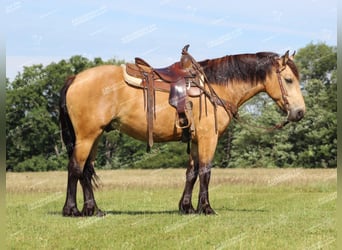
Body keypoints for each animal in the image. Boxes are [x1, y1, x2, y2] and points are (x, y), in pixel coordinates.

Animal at [58, 46, 304, 216]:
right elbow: (205, 171)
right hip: (87, 136)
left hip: (96, 136)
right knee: (76, 167)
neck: (215, 87)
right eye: (288, 80)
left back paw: (93, 210)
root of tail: (75, 78)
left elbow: (191, 173)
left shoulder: (195, 140)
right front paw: (206, 208)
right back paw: (72, 210)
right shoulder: (208, 137)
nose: (300, 112)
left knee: (86, 170)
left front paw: (187, 207)